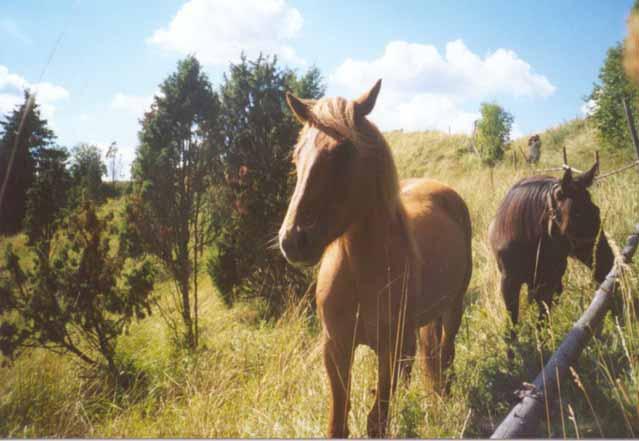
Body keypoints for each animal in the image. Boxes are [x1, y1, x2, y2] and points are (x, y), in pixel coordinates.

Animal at [278, 80, 472, 436]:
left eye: (344, 153)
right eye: (297, 157)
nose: (293, 240)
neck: (362, 273)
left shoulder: (392, 350)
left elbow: (376, 422)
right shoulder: (336, 348)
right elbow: (338, 424)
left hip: (453, 309)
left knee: (445, 355)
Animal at [490, 163, 616, 356]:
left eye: (597, 211)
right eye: (576, 215)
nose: (608, 262)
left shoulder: (548, 282)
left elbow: (542, 317)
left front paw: (541, 346)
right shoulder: (509, 282)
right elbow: (512, 318)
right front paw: (511, 352)